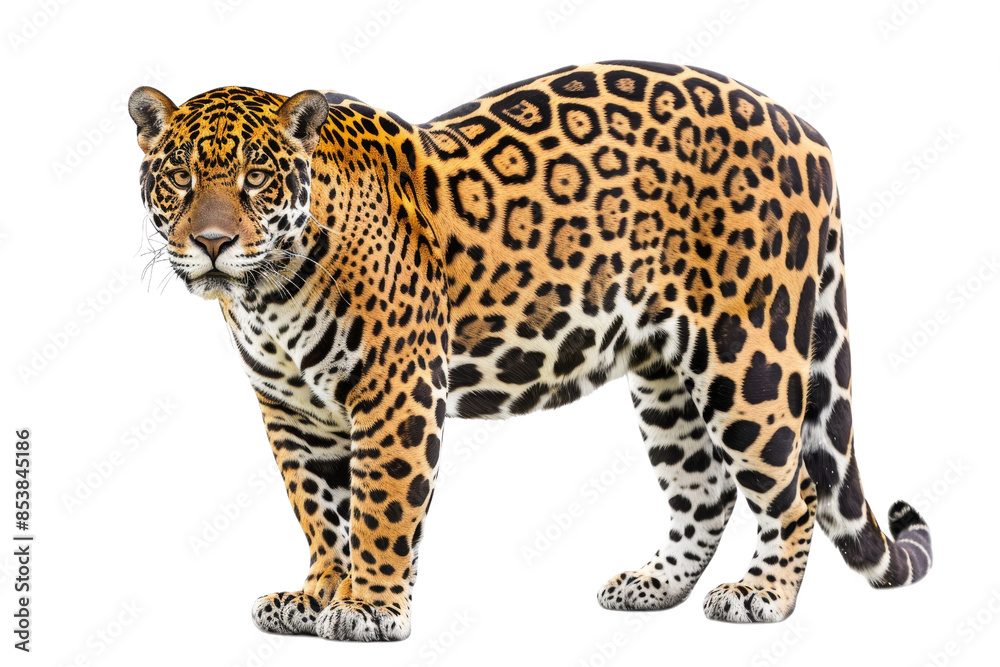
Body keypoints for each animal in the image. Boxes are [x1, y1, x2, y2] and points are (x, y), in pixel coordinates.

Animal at [128, 60, 932, 640]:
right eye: (180, 178)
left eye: (256, 179)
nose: (211, 243)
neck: (270, 292)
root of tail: (807, 132)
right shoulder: (291, 411)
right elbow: (321, 509)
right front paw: (320, 593)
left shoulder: (394, 394)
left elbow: (380, 508)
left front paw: (371, 609)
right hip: (664, 375)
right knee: (704, 488)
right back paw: (651, 586)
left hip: (748, 357)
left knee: (793, 489)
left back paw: (764, 594)